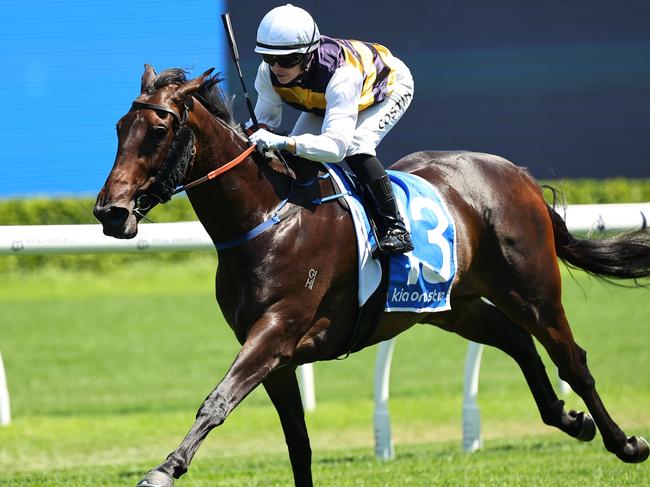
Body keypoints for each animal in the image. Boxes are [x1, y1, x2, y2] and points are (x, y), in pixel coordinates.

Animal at [92, 66, 648, 487]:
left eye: (158, 131)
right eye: (119, 127)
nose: (110, 212)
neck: (267, 217)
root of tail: (517, 173)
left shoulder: (276, 330)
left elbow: (217, 401)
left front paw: (164, 469)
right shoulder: (272, 353)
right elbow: (297, 440)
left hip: (532, 290)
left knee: (571, 359)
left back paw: (625, 442)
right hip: (452, 306)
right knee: (515, 340)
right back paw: (568, 419)